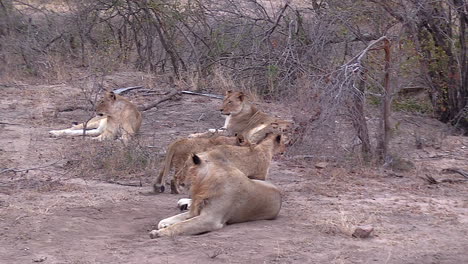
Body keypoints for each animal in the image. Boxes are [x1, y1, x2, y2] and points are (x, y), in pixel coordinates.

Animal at [150, 152, 282, 238]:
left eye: (185, 166)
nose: (177, 176)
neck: (203, 185)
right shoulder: (197, 211)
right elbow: (177, 218)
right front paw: (163, 223)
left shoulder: (210, 219)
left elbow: (181, 226)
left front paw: (158, 233)